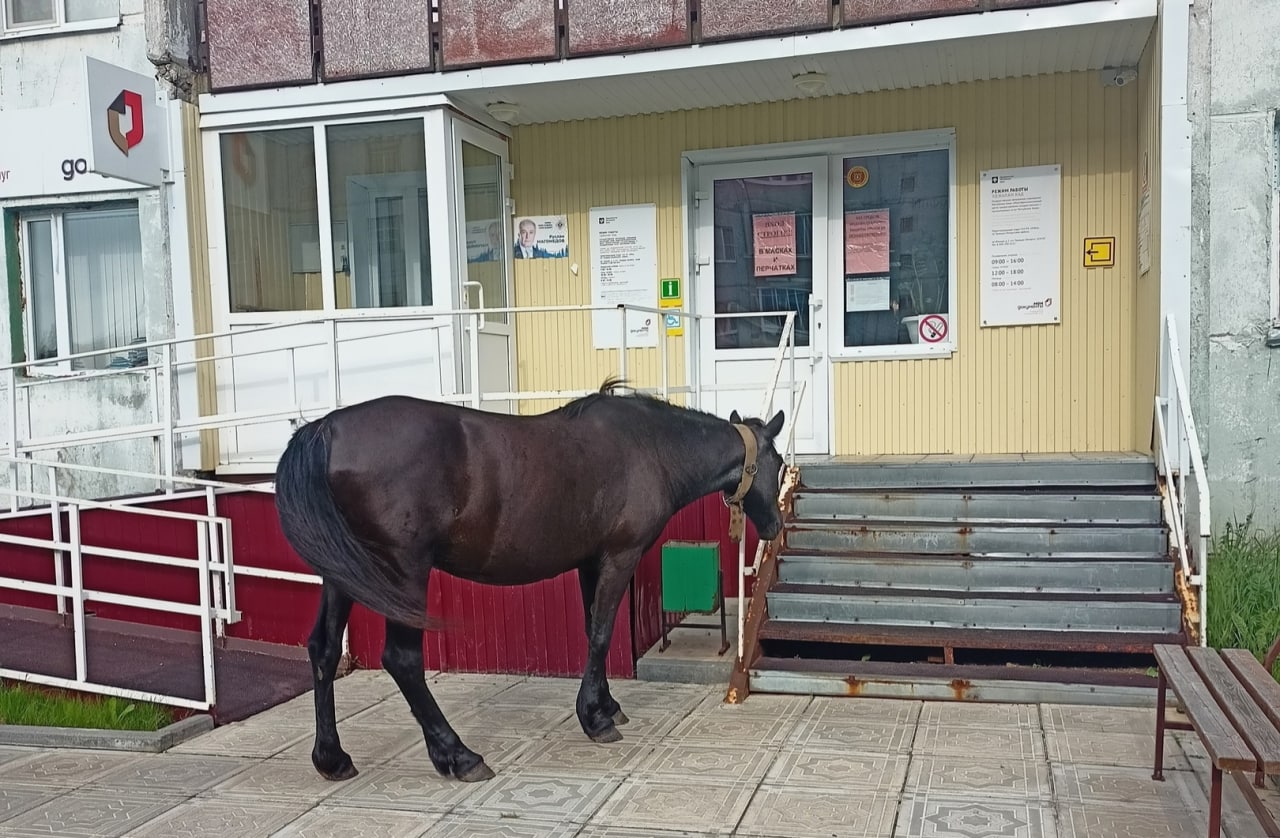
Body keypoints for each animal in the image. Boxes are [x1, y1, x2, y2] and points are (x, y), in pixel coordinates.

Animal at [275, 381, 783, 788]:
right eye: (777, 462)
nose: (776, 526)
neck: (651, 448)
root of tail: (326, 430)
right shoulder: (619, 558)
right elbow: (602, 635)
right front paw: (594, 719)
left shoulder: (589, 562)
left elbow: (591, 631)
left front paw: (605, 705)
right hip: (404, 572)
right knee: (402, 660)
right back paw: (459, 755)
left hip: (344, 574)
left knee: (323, 649)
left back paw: (332, 758)